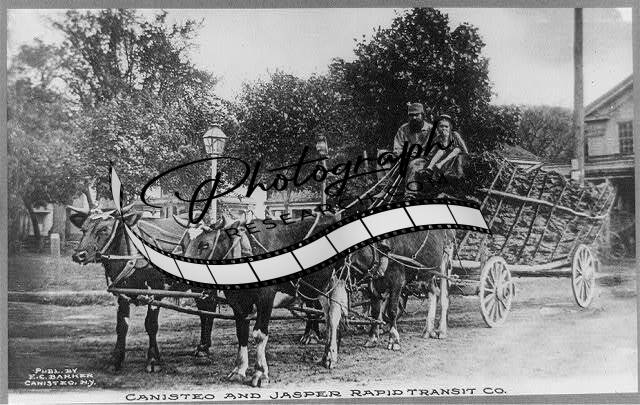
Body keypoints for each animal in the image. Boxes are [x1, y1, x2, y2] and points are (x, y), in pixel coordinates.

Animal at [69, 206, 218, 372]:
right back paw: (203, 346)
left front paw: (153, 360)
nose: (79, 255)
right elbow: (122, 326)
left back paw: (203, 349)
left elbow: (151, 325)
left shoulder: (156, 291)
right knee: (204, 310)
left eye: (104, 229)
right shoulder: (122, 293)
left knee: (209, 309)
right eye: (83, 229)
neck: (132, 256)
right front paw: (115, 359)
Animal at [180, 214, 348, 387]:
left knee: (333, 316)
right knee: (325, 314)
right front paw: (238, 370)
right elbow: (241, 332)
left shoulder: (266, 296)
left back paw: (330, 356)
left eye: (205, 245)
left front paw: (260, 373)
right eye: (183, 244)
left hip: (337, 280)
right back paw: (326, 352)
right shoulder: (237, 301)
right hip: (319, 287)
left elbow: (259, 334)